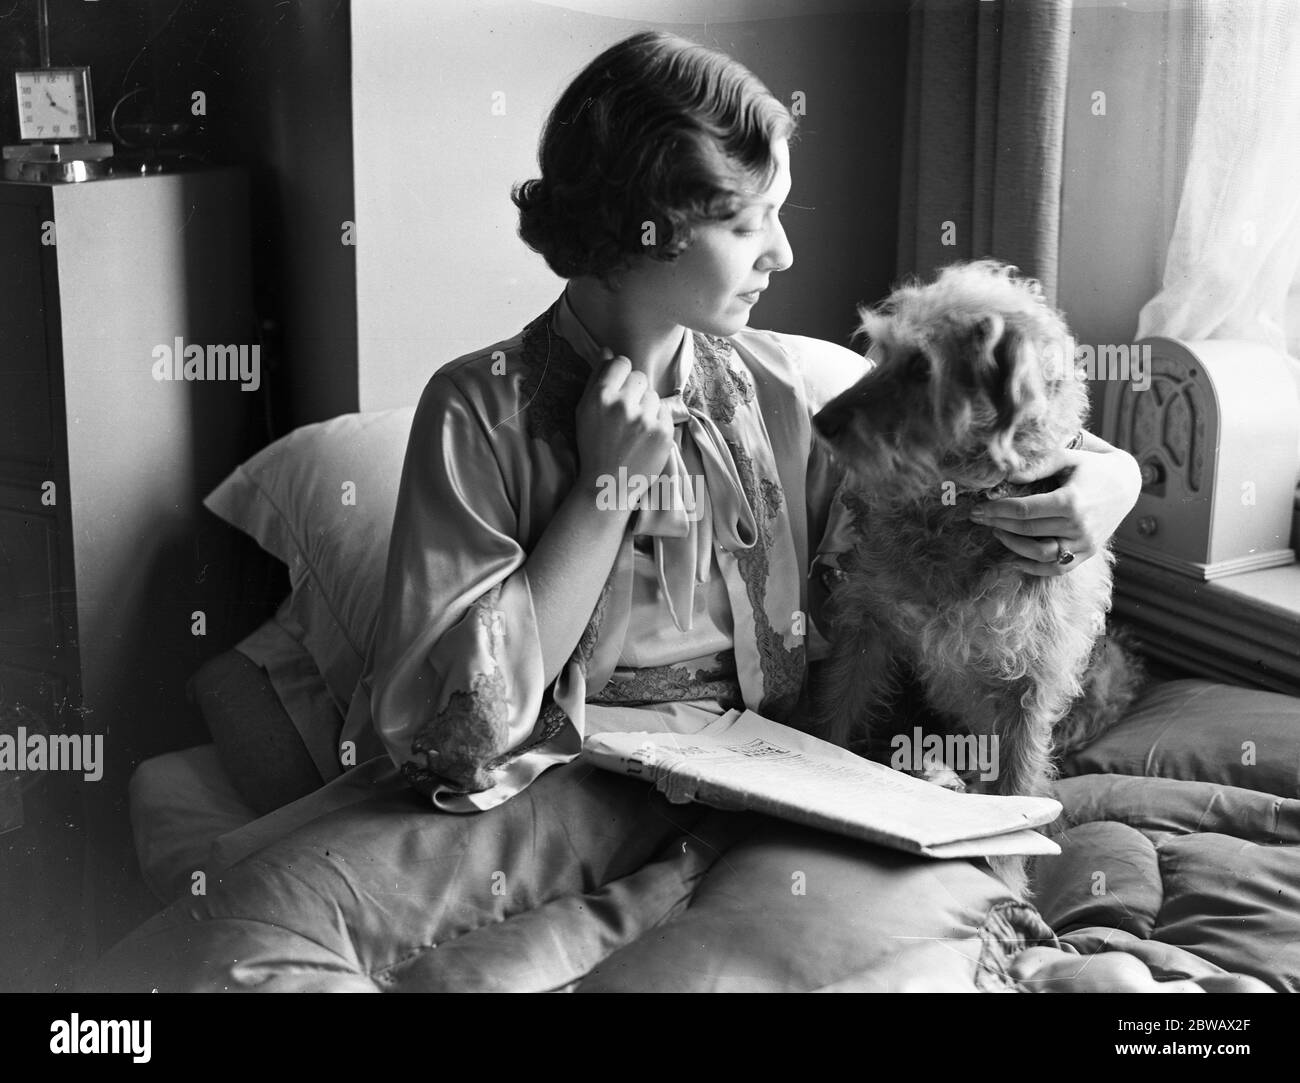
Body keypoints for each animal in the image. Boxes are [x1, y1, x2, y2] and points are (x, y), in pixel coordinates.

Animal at [816, 257, 1144, 889]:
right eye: (884, 354)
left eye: (923, 367)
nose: (821, 421)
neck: (957, 508)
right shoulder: (867, 627)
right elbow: (834, 710)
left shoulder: (1032, 687)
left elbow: (1016, 792)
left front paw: (1008, 884)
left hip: (1105, 670)